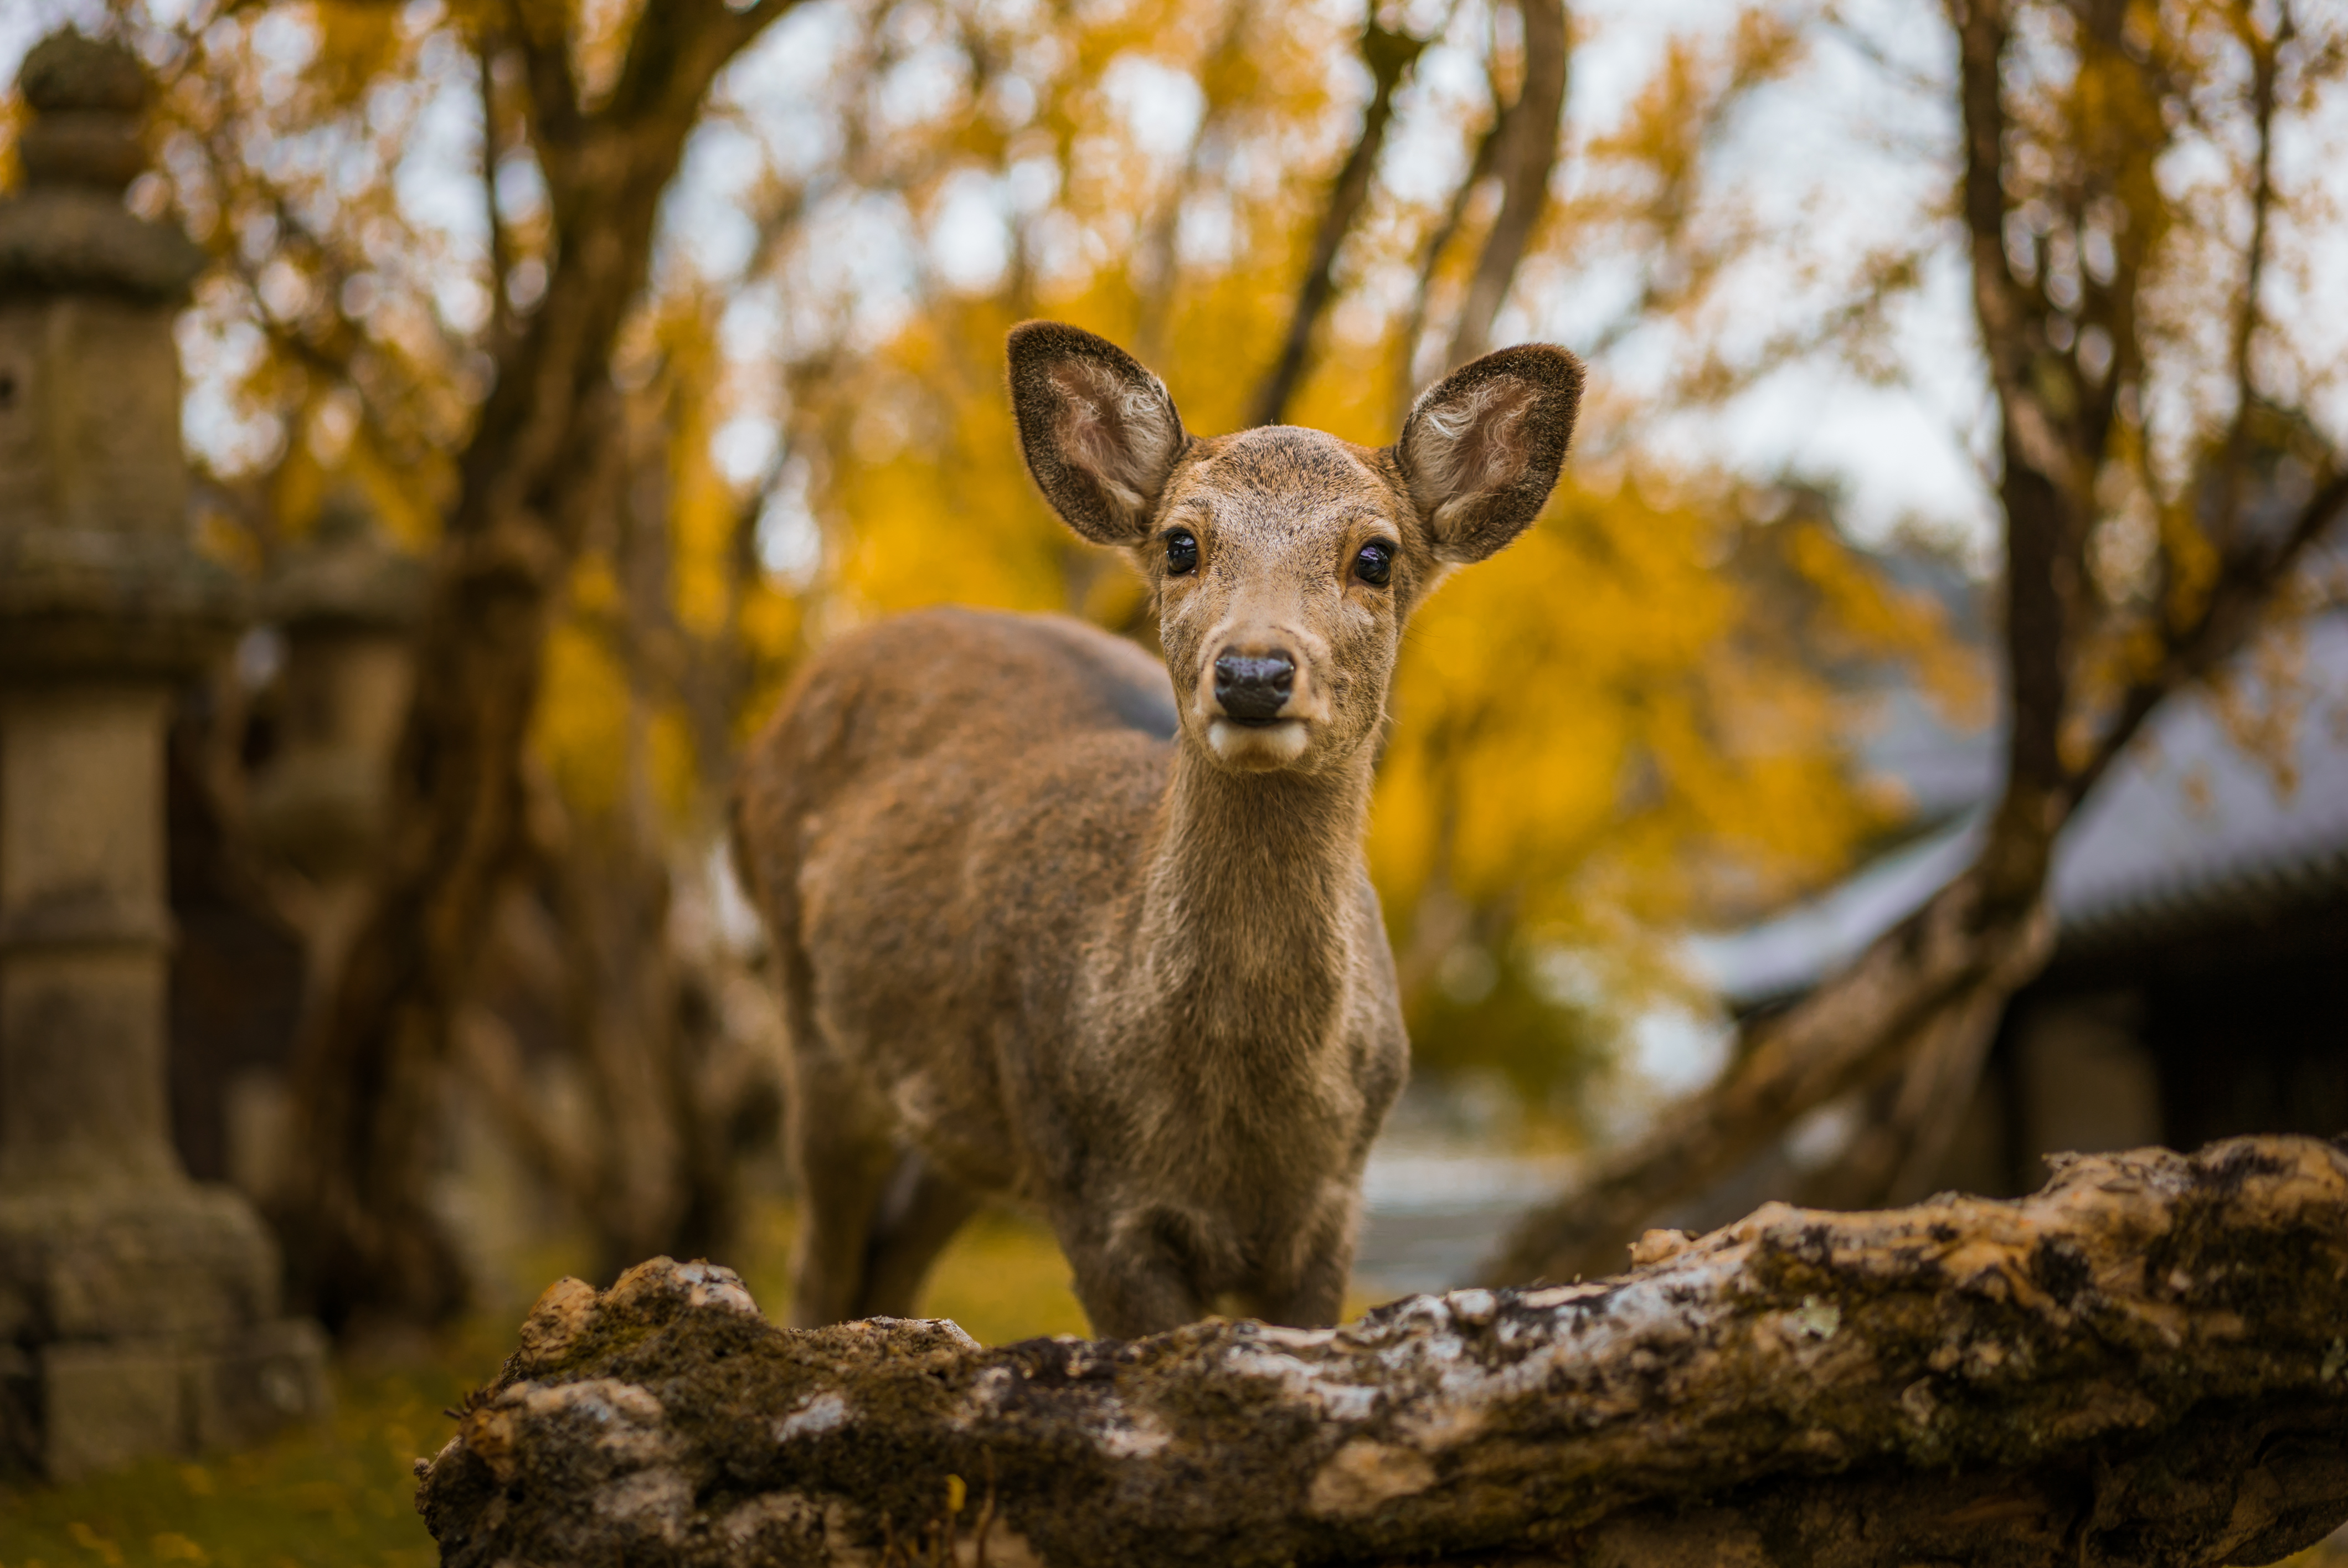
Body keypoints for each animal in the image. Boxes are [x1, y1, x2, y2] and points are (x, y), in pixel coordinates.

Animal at [732, 321, 1578, 1333]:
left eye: (1375, 556)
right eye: (1181, 544)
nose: (1253, 672)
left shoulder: (1332, 1210)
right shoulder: (1091, 1193)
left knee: (890, 1250)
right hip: (817, 1025)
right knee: (822, 1257)